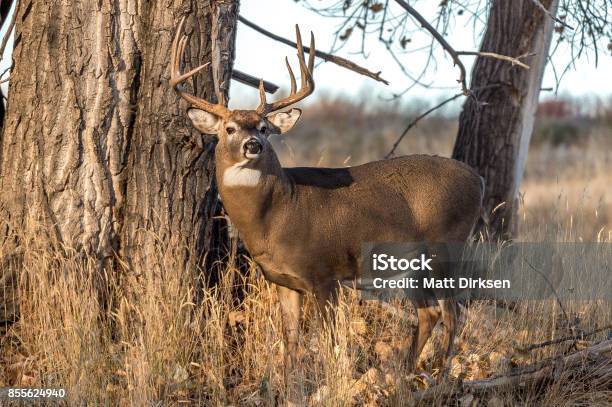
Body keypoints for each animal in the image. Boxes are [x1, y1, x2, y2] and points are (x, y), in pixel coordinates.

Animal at [169, 18, 482, 376]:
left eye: (263, 127)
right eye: (229, 129)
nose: (253, 145)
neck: (275, 216)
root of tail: (478, 179)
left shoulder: (325, 272)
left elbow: (332, 344)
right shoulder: (284, 281)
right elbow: (291, 342)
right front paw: (288, 382)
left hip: (446, 246)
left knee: (453, 312)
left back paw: (441, 375)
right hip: (412, 265)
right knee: (430, 311)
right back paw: (404, 372)